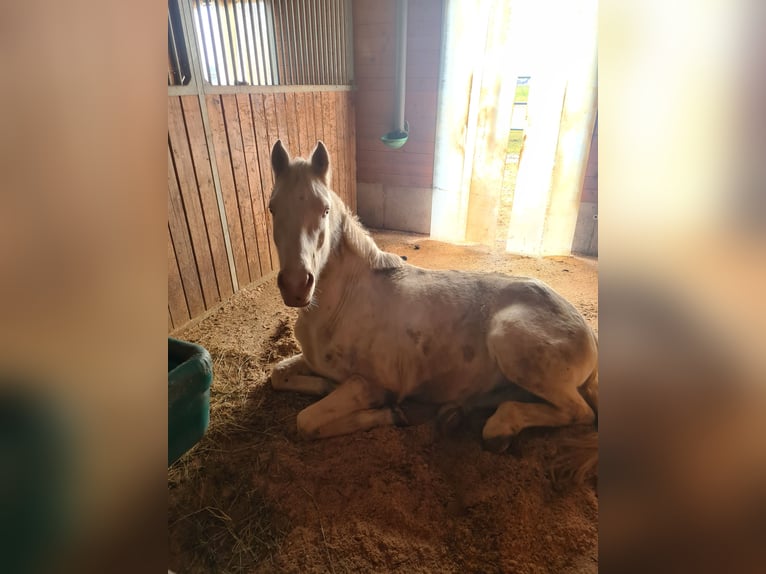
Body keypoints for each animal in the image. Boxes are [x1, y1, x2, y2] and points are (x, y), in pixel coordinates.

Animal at [268, 140, 598, 480]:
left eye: (325, 210)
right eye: (272, 208)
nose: (296, 286)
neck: (343, 304)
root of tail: (589, 334)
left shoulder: (369, 383)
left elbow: (307, 421)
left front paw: (392, 413)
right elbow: (277, 374)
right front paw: (324, 385)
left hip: (510, 339)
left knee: (581, 413)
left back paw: (498, 429)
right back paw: (455, 415)